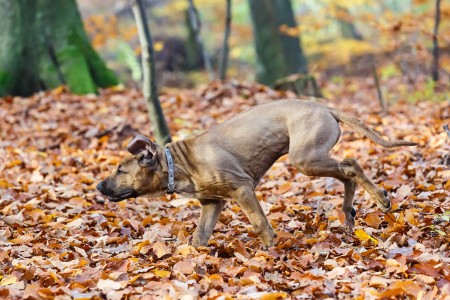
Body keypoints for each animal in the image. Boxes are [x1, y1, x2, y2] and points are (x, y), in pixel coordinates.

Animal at [96, 99, 416, 247]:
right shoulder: (211, 203)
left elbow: (260, 224)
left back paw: (381, 199)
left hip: (304, 158)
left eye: (121, 170)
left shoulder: (242, 189)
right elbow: (199, 237)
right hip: (312, 157)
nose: (99, 186)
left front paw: (271, 250)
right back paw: (349, 212)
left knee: (351, 165)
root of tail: (324, 107)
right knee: (347, 172)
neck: (179, 164)